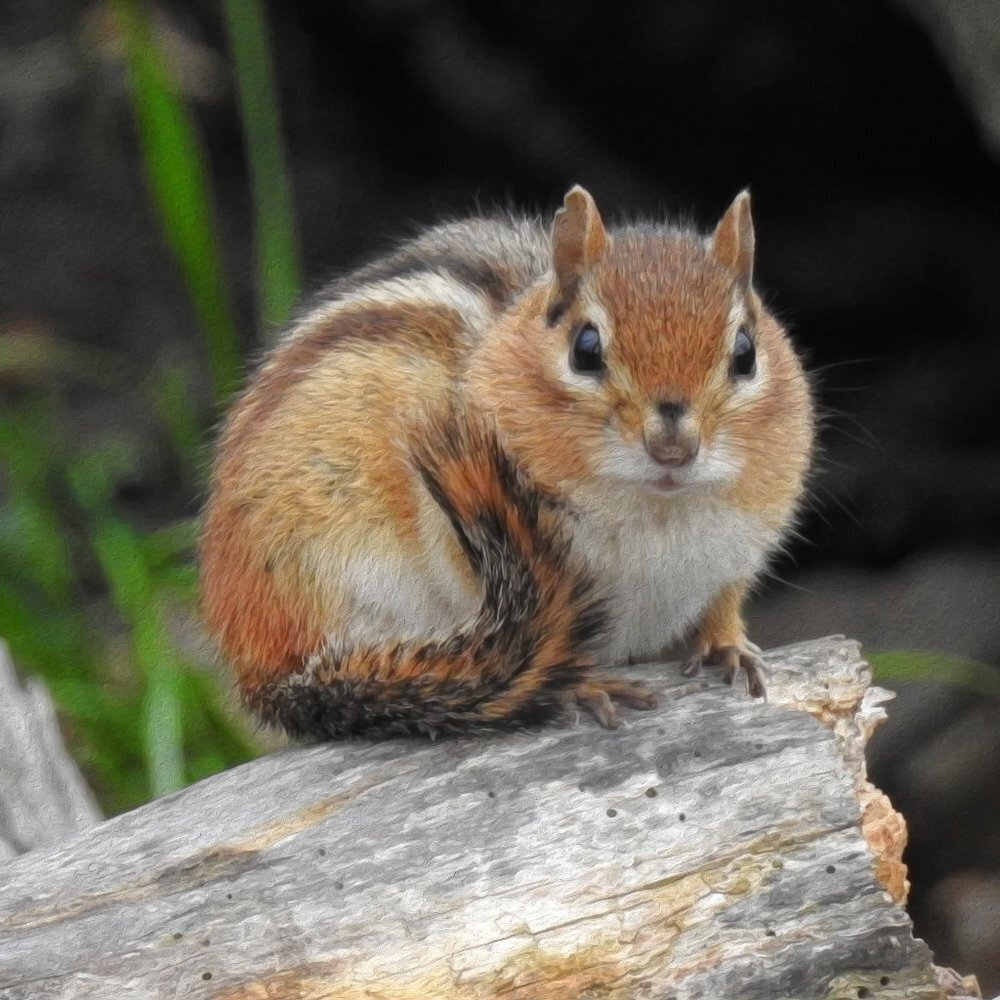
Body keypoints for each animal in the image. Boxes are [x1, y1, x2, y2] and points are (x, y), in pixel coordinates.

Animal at [199, 186, 814, 740]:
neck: (659, 508)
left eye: (745, 353)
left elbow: (723, 603)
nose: (673, 448)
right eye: (585, 349)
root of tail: (257, 666)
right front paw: (582, 682)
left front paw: (729, 645)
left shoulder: (737, 550)